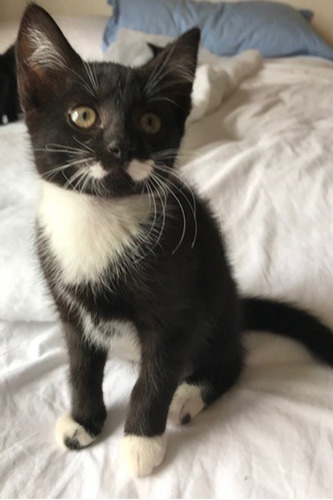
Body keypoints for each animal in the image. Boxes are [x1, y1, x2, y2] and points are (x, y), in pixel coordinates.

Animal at [14, 2, 332, 476]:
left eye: (150, 121)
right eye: (83, 115)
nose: (120, 148)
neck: (100, 218)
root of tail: (237, 306)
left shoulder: (176, 308)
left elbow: (155, 378)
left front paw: (142, 442)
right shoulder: (69, 308)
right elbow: (81, 367)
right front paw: (84, 422)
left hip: (215, 306)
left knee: (230, 361)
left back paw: (188, 396)